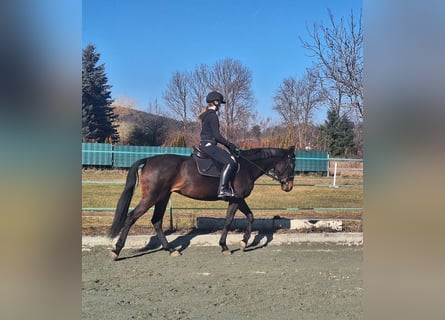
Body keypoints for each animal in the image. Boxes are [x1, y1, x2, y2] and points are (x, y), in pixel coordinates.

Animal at [108, 146, 294, 258]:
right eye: (291, 163)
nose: (289, 186)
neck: (247, 167)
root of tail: (149, 159)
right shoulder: (236, 198)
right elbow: (229, 221)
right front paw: (225, 246)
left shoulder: (238, 199)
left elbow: (250, 216)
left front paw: (243, 242)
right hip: (151, 197)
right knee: (131, 217)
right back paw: (116, 250)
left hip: (162, 197)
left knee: (157, 221)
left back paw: (170, 250)